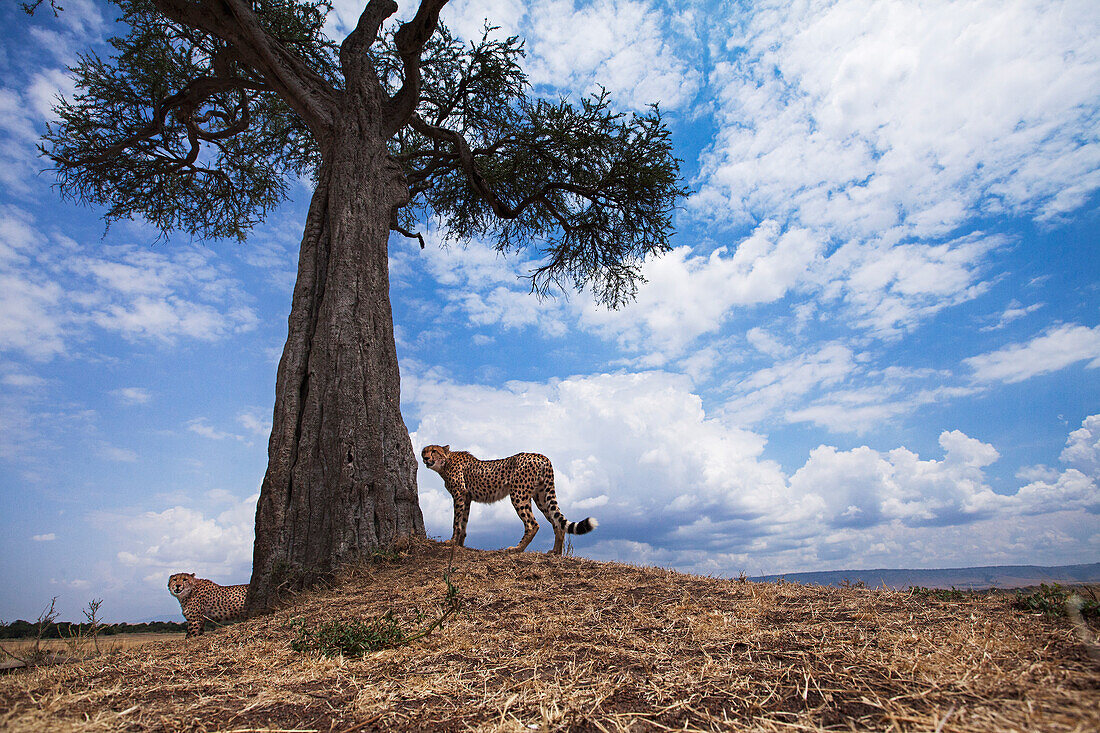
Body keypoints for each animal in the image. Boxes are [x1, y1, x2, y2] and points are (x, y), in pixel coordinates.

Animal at [420, 440, 598, 554]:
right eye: (424, 451)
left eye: (434, 451)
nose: (425, 458)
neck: (445, 463)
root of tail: (541, 456)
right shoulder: (467, 498)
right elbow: (463, 522)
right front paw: (460, 544)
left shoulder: (458, 495)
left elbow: (456, 522)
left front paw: (451, 542)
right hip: (541, 496)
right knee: (557, 523)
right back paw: (555, 552)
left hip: (519, 494)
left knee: (532, 524)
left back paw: (517, 549)